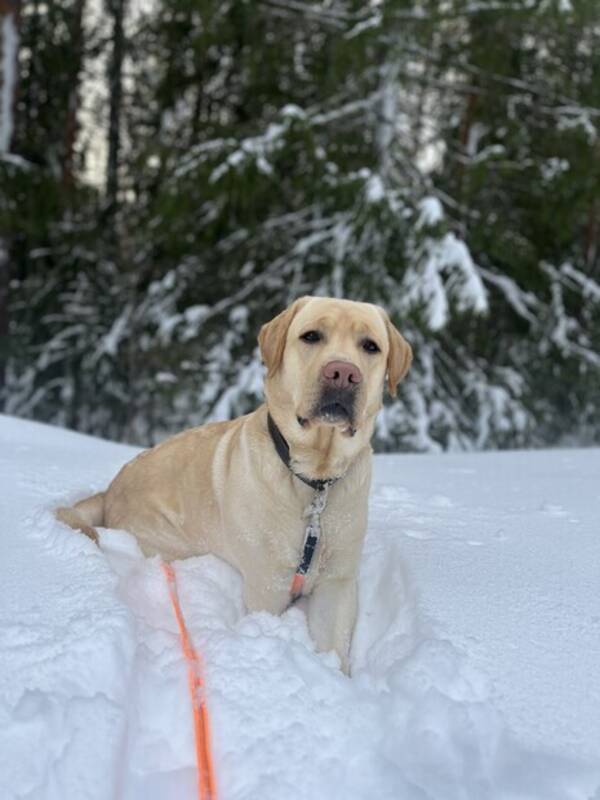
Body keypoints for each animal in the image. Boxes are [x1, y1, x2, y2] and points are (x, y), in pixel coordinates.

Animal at [57, 296, 412, 668]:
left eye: (370, 346)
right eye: (311, 336)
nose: (343, 372)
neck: (314, 479)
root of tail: (109, 490)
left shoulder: (338, 583)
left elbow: (336, 648)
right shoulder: (268, 585)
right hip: (172, 544)